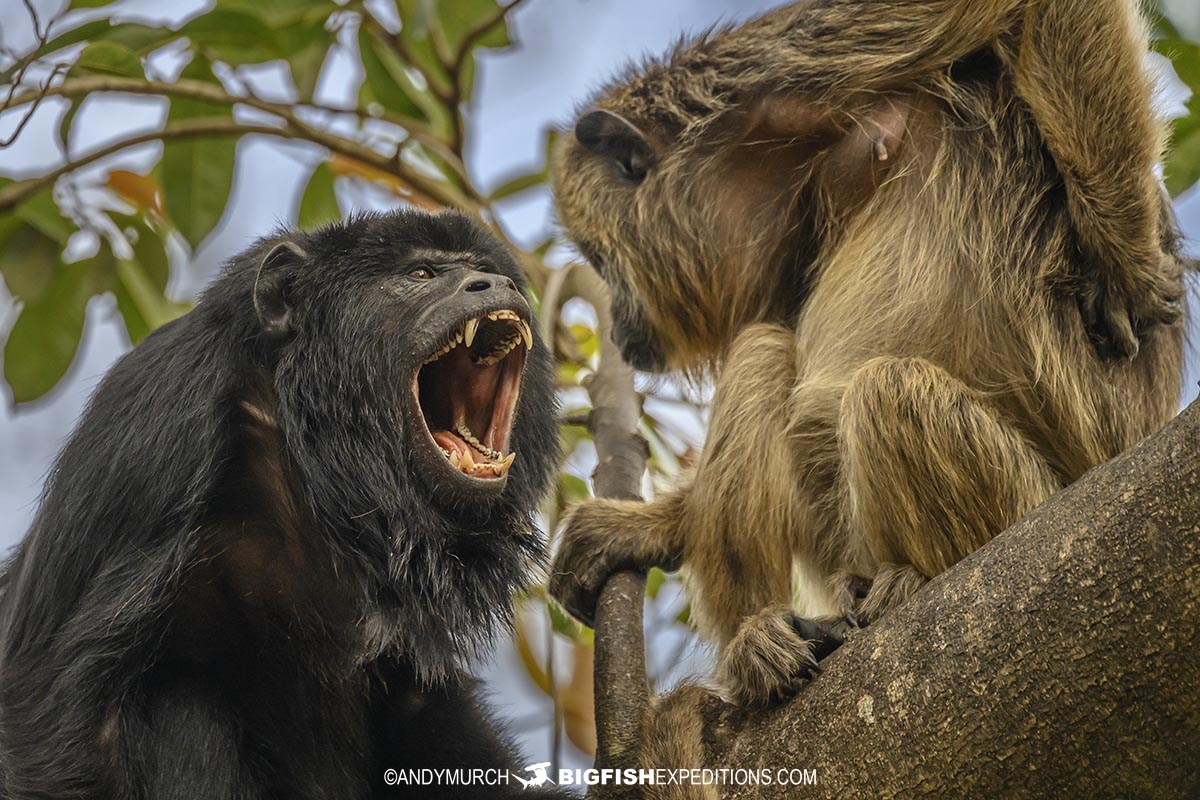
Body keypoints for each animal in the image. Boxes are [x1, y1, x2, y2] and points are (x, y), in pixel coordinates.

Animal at [0, 210, 569, 798]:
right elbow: (53, 708)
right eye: (422, 274)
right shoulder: (158, 420)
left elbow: (424, 699)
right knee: (183, 707)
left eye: (482, 268)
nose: (494, 283)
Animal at [547, 0, 1190, 705]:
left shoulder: (799, 54)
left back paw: (903, 584)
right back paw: (760, 642)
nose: (620, 329)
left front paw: (1129, 263)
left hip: (1035, 509)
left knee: (887, 388)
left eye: (602, 259)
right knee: (763, 354)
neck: (755, 160)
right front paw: (644, 528)